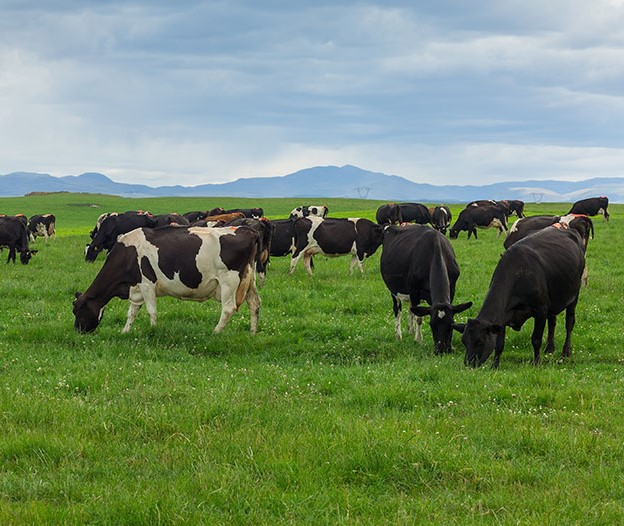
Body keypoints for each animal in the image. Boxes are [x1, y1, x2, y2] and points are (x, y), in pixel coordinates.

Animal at [74, 226, 262, 334]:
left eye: (77, 311)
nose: (78, 331)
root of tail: (248, 230)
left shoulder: (147, 283)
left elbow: (151, 311)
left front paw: (153, 330)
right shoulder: (136, 287)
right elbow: (132, 312)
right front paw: (125, 331)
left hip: (229, 281)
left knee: (228, 309)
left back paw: (216, 332)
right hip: (249, 279)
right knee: (254, 303)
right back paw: (252, 333)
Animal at [378, 224, 470, 354]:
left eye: (451, 324)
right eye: (432, 325)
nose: (442, 350)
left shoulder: (452, 289)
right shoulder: (414, 291)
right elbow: (419, 319)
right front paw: (418, 340)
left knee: (411, 309)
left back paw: (410, 330)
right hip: (393, 290)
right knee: (398, 310)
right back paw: (398, 335)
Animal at [456, 228, 588, 372]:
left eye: (480, 341)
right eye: (463, 341)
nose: (468, 364)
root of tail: (570, 230)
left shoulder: (540, 309)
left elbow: (536, 339)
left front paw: (537, 362)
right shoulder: (503, 316)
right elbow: (499, 344)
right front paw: (495, 366)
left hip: (574, 295)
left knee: (569, 322)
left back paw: (566, 351)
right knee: (552, 322)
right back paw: (549, 348)